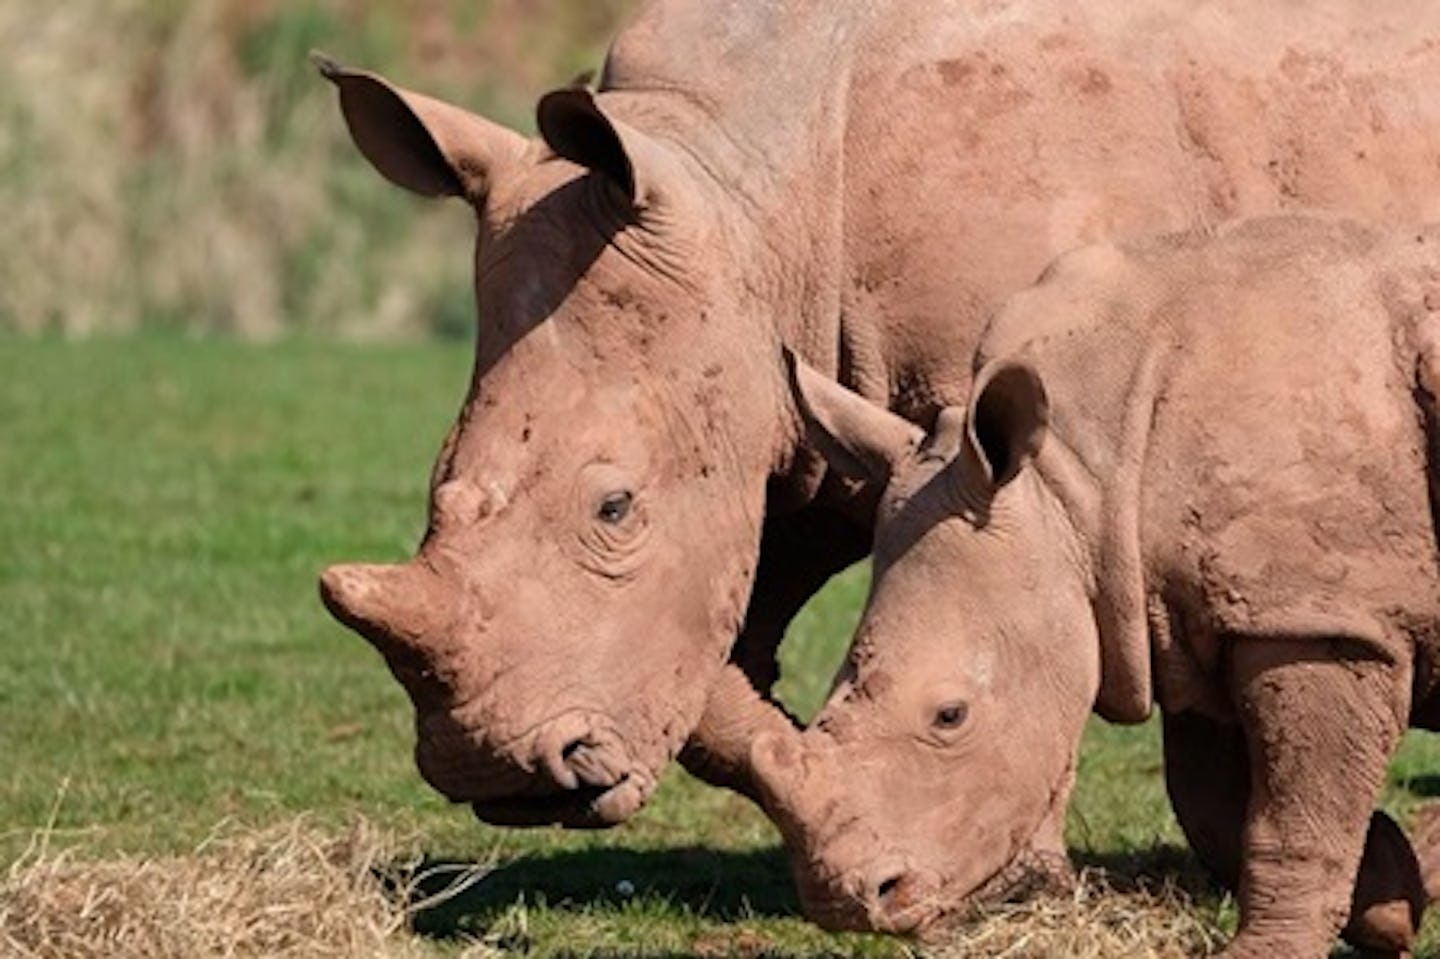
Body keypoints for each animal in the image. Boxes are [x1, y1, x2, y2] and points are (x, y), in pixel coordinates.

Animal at [754, 215, 1440, 956]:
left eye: (950, 715)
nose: (846, 901)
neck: (1077, 483)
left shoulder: (1320, 618)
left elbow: (1294, 819)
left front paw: (1270, 947)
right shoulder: (1199, 613)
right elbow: (1217, 803)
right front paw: (1390, 901)